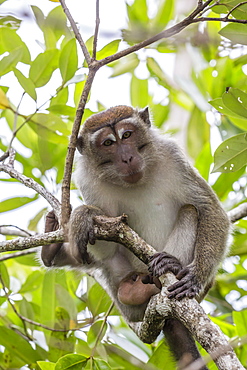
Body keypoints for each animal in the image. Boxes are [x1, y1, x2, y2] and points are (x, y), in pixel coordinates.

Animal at [42, 105, 230, 368]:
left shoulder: (173, 157)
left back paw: (168, 270)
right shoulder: (87, 180)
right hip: (122, 286)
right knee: (106, 261)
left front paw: (196, 275)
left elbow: (209, 209)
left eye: (128, 135)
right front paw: (84, 215)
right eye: (108, 143)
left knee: (190, 211)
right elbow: (106, 238)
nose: (127, 158)